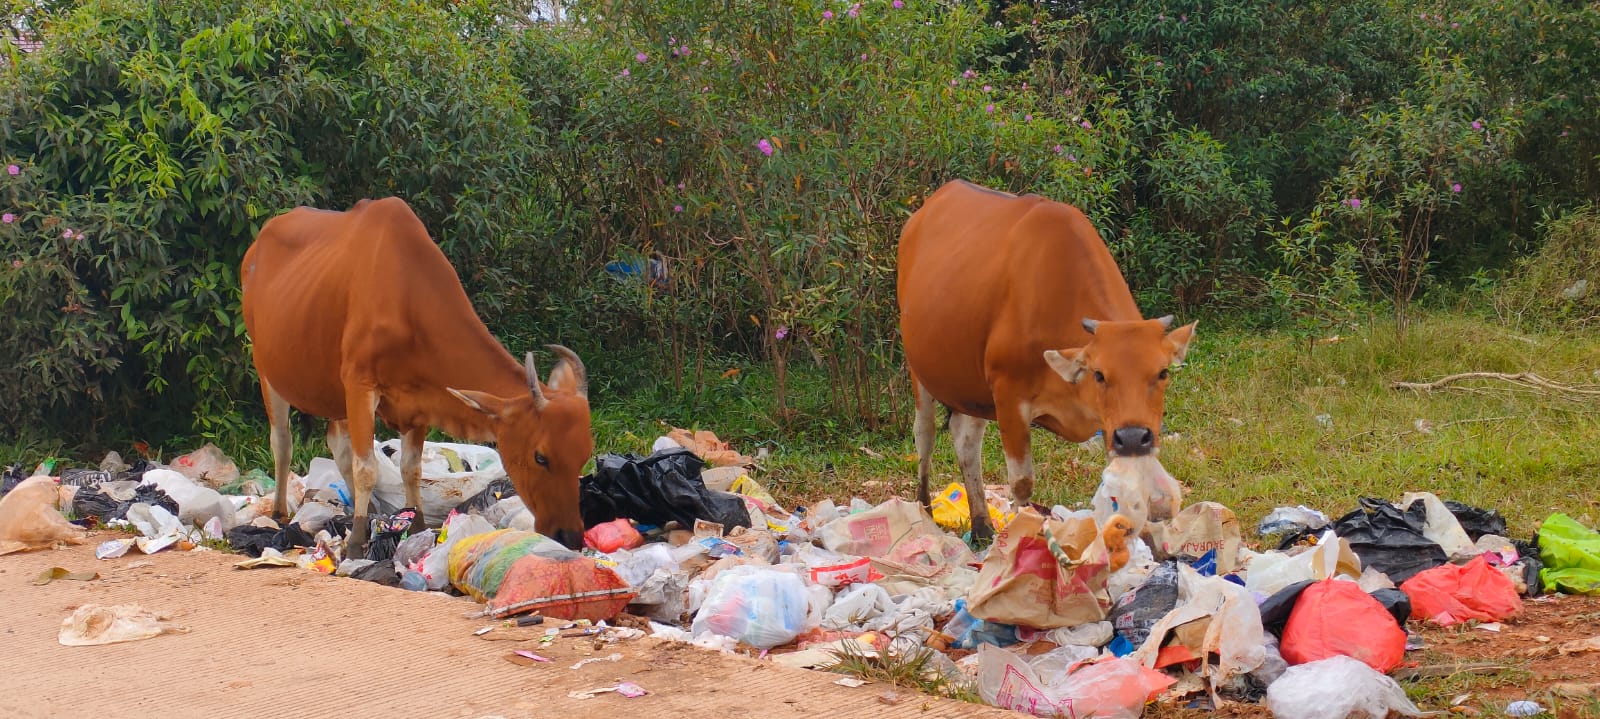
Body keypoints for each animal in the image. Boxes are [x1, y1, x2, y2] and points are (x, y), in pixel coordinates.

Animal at [246, 197, 598, 554]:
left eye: (585, 454)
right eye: (541, 457)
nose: (569, 536)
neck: (405, 296)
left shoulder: (420, 399)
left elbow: (410, 468)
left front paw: (414, 526)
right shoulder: (359, 385)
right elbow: (366, 468)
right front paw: (357, 540)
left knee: (338, 447)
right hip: (266, 369)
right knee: (283, 441)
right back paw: (280, 512)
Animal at [896, 179, 1196, 538]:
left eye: (1162, 373)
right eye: (1099, 374)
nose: (1136, 435)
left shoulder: (1113, 426)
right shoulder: (1009, 399)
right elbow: (1021, 483)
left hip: (972, 386)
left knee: (965, 440)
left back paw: (981, 525)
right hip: (920, 371)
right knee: (924, 436)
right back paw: (925, 510)